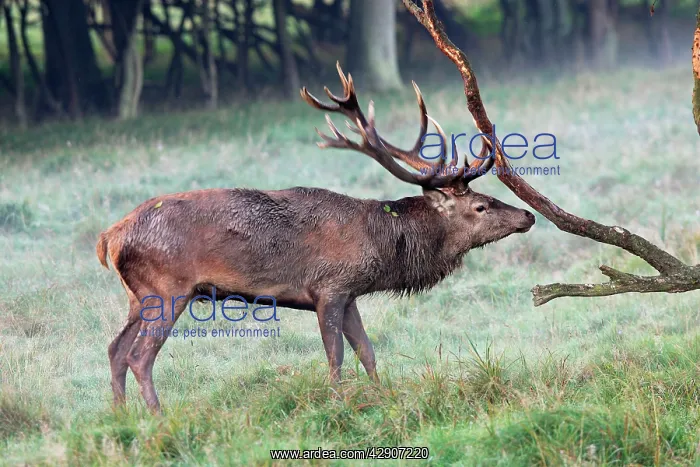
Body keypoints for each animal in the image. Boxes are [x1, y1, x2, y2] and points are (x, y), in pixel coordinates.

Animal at [96, 63, 535, 413]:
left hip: (138, 295)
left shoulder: (351, 294)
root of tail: (109, 238)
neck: (381, 244)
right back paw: (157, 418)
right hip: (168, 288)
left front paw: (384, 397)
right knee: (139, 357)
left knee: (115, 349)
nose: (528, 215)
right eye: (481, 206)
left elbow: (367, 351)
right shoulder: (329, 288)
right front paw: (338, 403)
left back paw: (121, 417)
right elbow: (336, 356)